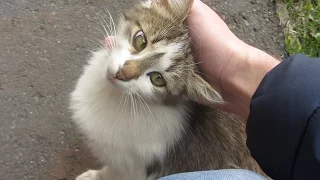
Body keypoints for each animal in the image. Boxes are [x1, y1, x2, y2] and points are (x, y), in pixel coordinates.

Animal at [70, 0, 264, 180]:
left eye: (158, 79)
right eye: (140, 40)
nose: (121, 73)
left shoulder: (133, 166)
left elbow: (113, 172)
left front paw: (94, 176)